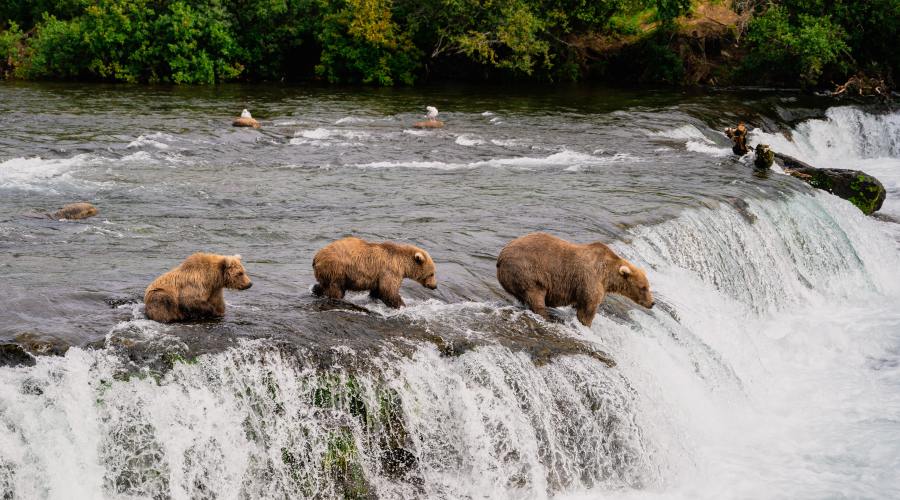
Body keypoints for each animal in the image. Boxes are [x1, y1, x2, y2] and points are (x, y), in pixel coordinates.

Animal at [496, 232, 654, 327]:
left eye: (648, 286)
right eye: (643, 287)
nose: (652, 303)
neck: (607, 276)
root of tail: (500, 257)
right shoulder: (590, 279)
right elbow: (588, 308)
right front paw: (586, 324)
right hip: (527, 271)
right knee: (535, 295)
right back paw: (547, 316)